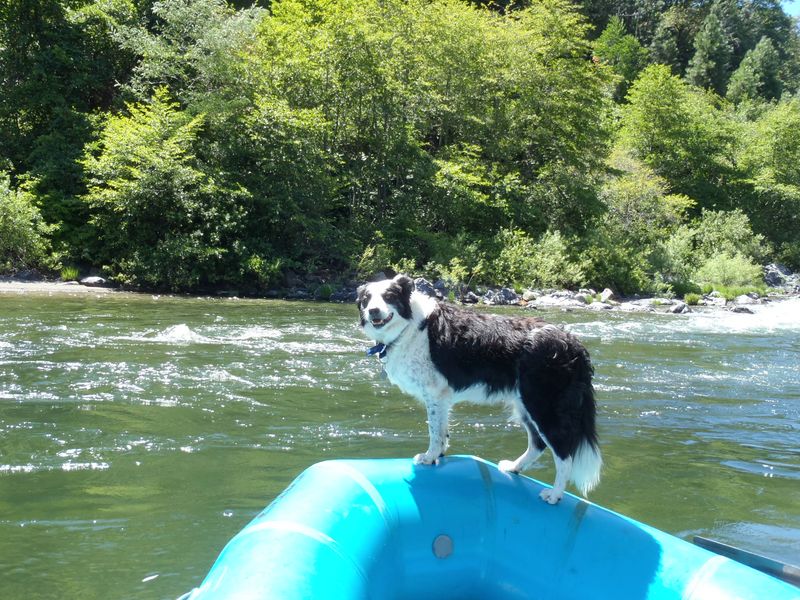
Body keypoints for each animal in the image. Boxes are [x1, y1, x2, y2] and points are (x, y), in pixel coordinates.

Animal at [356, 274, 600, 504]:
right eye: (366, 299)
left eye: (389, 296)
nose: (373, 311)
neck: (410, 327)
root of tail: (573, 342)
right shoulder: (441, 397)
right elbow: (442, 431)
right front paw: (439, 455)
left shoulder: (434, 393)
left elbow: (434, 431)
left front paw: (429, 457)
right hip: (524, 404)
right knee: (538, 443)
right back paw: (514, 467)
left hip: (542, 405)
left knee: (563, 453)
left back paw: (555, 494)